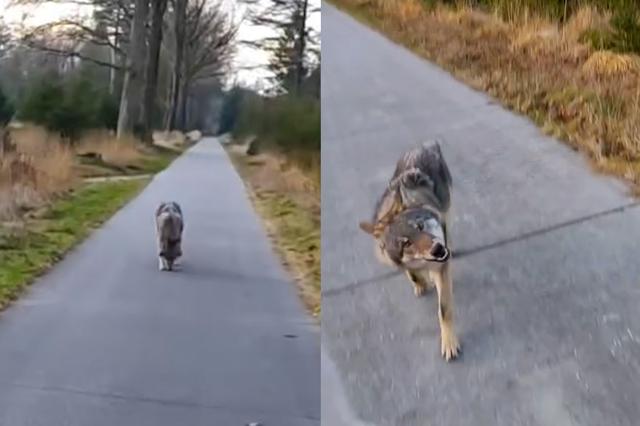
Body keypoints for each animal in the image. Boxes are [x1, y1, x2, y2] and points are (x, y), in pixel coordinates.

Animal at [359, 139, 460, 361]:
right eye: (406, 243)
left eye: (420, 226)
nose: (438, 249)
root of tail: (424, 144)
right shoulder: (394, 260)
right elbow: (411, 273)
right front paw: (420, 283)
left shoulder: (441, 265)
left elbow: (444, 309)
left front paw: (449, 343)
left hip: (446, 205)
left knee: (448, 224)